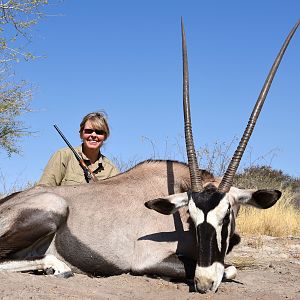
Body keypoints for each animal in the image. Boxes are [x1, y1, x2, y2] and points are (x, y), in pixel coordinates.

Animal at [0, 20, 298, 292]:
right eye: (190, 216)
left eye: (226, 216)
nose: (203, 284)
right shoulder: (148, 260)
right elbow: (228, 269)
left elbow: (231, 268)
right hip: (54, 208)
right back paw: (58, 266)